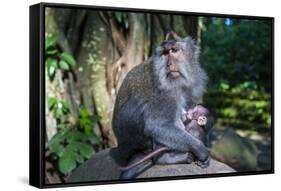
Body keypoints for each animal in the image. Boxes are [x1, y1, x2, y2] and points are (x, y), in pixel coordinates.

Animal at [111, 35, 208, 178]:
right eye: (165, 53)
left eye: (174, 50)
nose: (169, 64)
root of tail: (122, 149)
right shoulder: (165, 94)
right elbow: (158, 126)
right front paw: (200, 149)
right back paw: (164, 159)